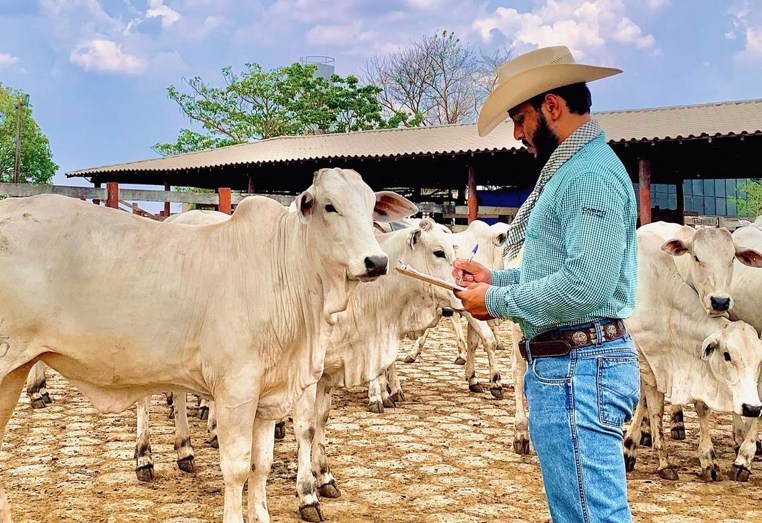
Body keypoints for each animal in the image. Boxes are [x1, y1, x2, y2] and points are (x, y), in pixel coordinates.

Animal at [0, 169, 418, 523]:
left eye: (371, 206)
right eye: (330, 206)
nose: (376, 261)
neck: (287, 270)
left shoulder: (269, 398)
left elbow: (261, 465)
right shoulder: (236, 392)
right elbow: (236, 467)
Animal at [288, 217, 460, 520]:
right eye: (439, 252)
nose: (459, 295)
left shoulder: (328, 374)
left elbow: (321, 420)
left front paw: (325, 478)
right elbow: (306, 429)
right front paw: (307, 495)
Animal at [620, 227, 760, 482]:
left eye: (758, 362)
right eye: (727, 355)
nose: (752, 408)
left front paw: (709, 461)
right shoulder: (647, 362)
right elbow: (655, 408)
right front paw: (663, 462)